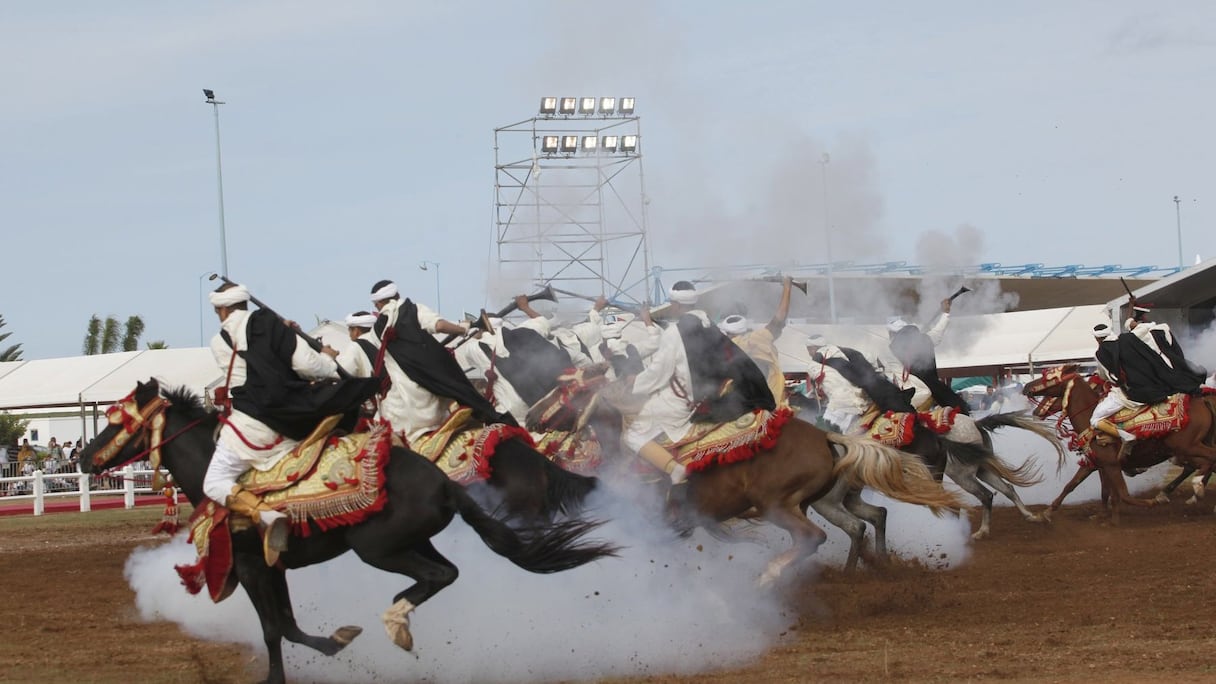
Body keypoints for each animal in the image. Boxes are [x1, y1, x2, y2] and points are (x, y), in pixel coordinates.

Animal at [1021, 365, 1216, 523]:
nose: (1026, 387)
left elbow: (1122, 494)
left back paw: (1195, 488)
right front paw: (1043, 514)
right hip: (1188, 449)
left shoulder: (1111, 464)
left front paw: (1138, 508)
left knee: (1208, 461)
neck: (1089, 418)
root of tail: (1203, 400)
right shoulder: (1096, 463)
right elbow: (1074, 486)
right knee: (1203, 464)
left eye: (1049, 377)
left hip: (1187, 447)